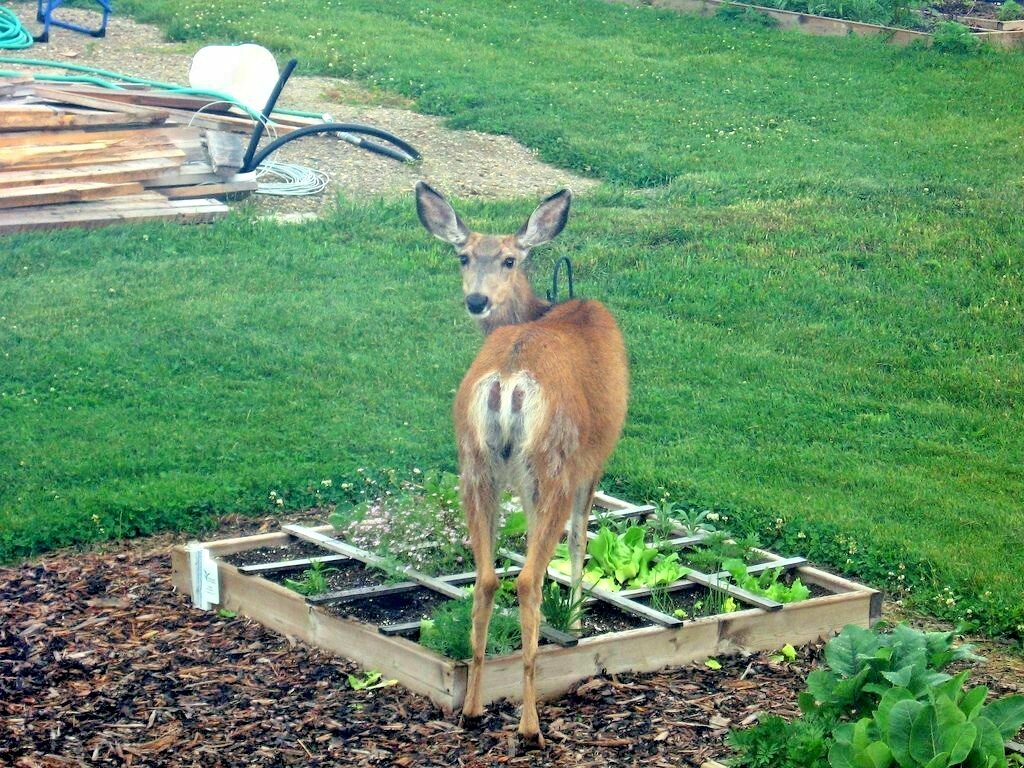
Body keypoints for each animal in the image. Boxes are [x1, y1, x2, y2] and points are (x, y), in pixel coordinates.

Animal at [415, 181, 629, 746]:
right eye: (464, 256)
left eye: (508, 259)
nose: (476, 299)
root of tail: (508, 378)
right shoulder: (594, 456)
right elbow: (580, 541)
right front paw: (574, 621)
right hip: (553, 461)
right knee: (529, 578)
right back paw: (530, 724)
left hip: (473, 463)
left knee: (486, 577)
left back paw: (471, 708)